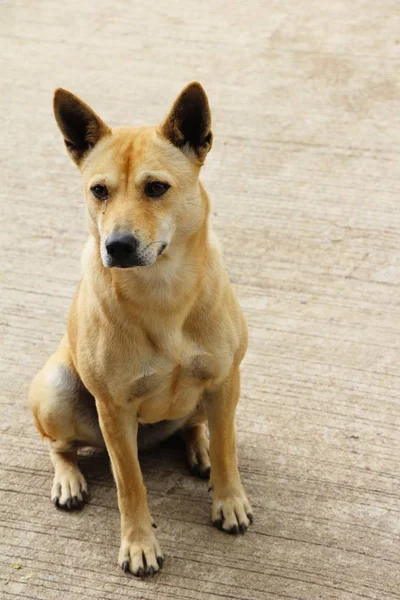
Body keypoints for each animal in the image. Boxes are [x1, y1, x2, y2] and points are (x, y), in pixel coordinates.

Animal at [29, 84, 252, 576]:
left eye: (156, 188)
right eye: (99, 191)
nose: (118, 246)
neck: (162, 292)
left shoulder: (226, 380)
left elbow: (228, 450)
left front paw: (229, 500)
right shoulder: (114, 410)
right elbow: (129, 484)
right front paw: (139, 544)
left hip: (208, 399)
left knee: (199, 428)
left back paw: (200, 450)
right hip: (57, 389)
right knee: (60, 446)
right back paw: (69, 480)